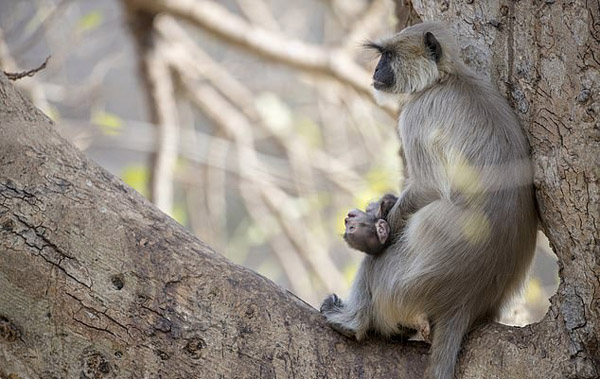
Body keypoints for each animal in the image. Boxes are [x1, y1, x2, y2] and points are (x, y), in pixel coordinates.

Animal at [322, 21, 536, 379]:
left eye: (387, 56)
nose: (376, 71)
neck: (445, 78)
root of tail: (464, 300)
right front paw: (381, 207)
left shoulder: (418, 113)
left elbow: (429, 187)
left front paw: (376, 228)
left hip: (404, 286)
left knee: (376, 263)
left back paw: (352, 323)